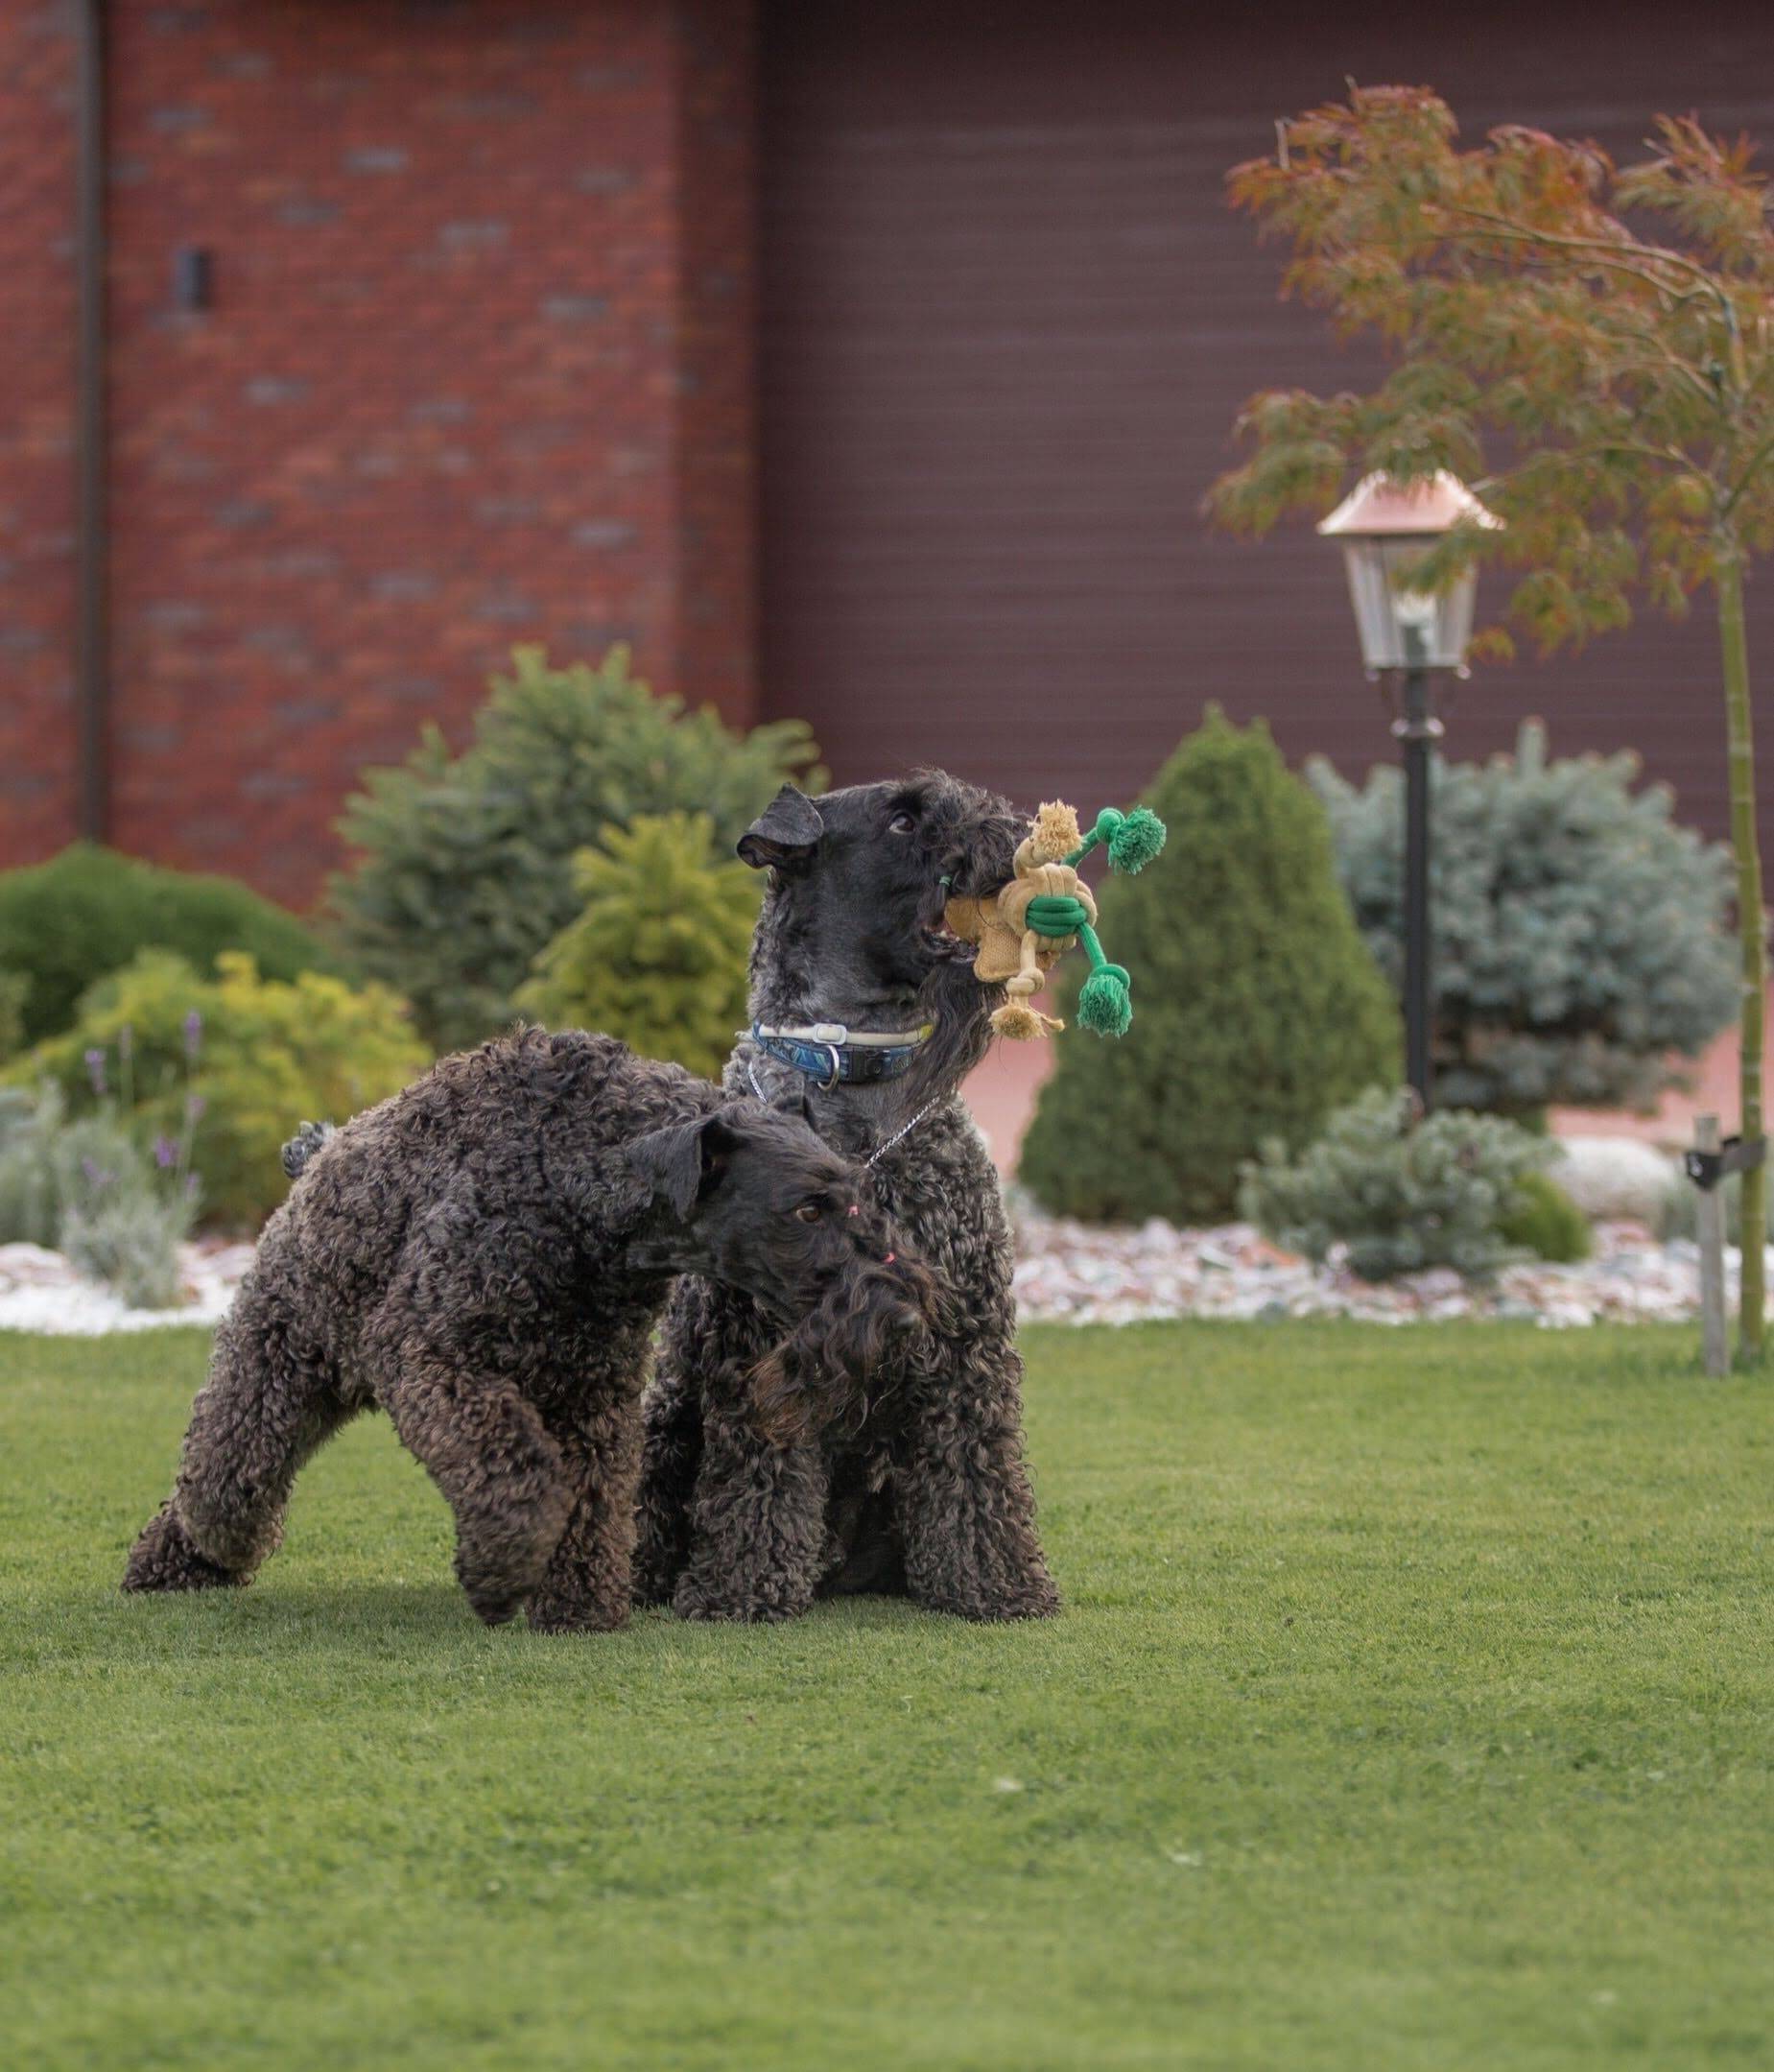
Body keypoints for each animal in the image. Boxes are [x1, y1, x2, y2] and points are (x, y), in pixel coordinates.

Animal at [119, 1027, 936, 1624]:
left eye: (857, 1198)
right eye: (805, 1208)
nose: (901, 1317)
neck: (573, 1176)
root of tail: (317, 1153)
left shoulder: (590, 1391)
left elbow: (592, 1497)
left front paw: (577, 1604)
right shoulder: (433, 1354)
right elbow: (518, 1473)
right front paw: (499, 1574)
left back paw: (171, 1566)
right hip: (283, 1364)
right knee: (225, 1473)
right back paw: (211, 1544)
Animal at [633, 771, 1060, 1624]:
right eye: (902, 820)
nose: (1016, 839)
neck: (854, 1089)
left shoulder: (966, 1331)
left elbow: (978, 1464)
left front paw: (996, 1582)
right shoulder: (755, 1337)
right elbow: (759, 1473)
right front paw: (743, 1588)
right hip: (666, 1422)